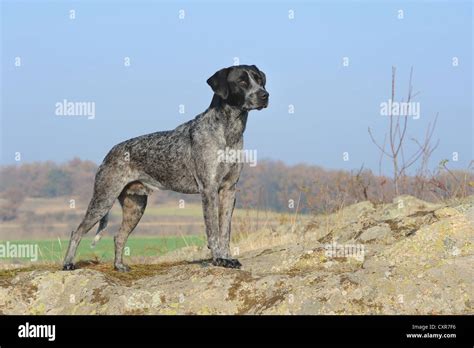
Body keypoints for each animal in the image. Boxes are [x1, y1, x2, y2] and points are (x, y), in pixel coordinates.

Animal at [63, 65, 268, 272]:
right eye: (242, 81)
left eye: (259, 80)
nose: (265, 95)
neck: (229, 132)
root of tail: (109, 153)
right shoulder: (209, 189)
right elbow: (213, 231)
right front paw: (218, 259)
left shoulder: (229, 189)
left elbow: (225, 231)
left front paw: (227, 258)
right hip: (103, 198)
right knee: (76, 232)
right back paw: (68, 264)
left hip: (135, 206)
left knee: (118, 236)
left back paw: (119, 266)